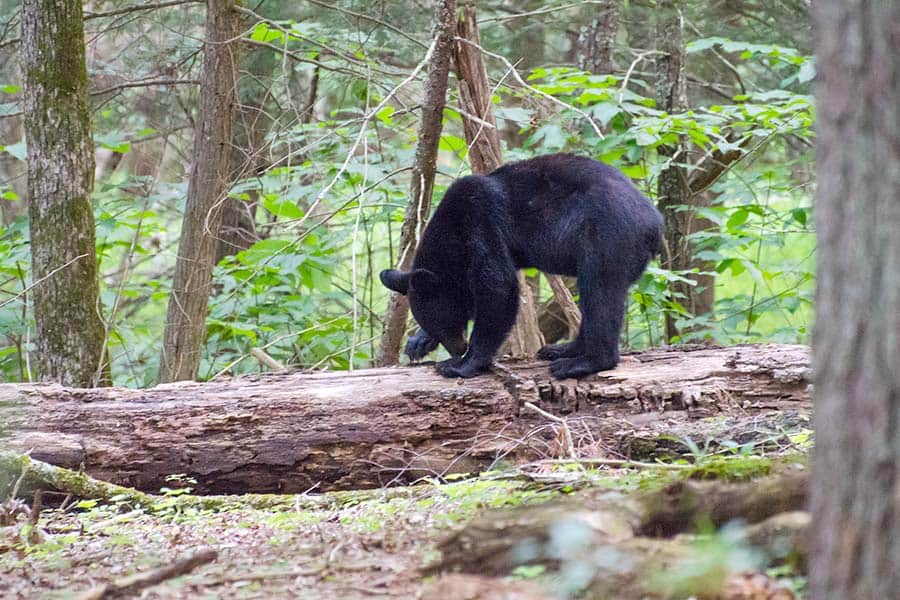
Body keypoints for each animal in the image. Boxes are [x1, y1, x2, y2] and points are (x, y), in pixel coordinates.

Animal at [380, 155, 660, 380]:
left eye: (445, 321)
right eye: (437, 324)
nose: (457, 347)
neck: (451, 232)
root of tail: (655, 224)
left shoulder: (479, 219)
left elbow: (498, 286)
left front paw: (462, 364)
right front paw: (418, 342)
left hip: (607, 238)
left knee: (600, 293)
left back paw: (581, 362)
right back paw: (563, 349)